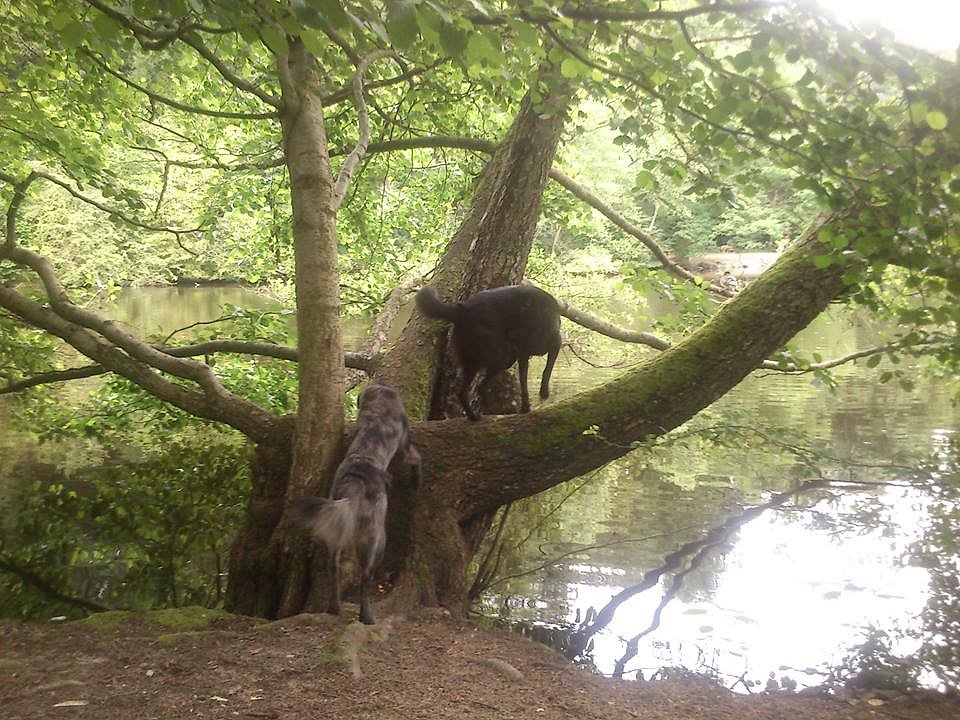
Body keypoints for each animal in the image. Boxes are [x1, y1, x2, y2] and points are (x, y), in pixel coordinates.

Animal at [284, 382, 420, 624]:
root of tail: (355, 487)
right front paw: (417, 480)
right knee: (366, 577)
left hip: (336, 533)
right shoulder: (406, 444)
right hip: (376, 538)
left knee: (333, 568)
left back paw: (333, 607)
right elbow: (416, 459)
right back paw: (367, 616)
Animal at [414, 282, 564, 420]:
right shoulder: (553, 344)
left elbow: (525, 385)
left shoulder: (524, 355)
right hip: (502, 358)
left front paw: (525, 408)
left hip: (473, 362)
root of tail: (463, 309)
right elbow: (547, 371)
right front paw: (543, 394)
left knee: (462, 393)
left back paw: (473, 416)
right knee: (480, 387)